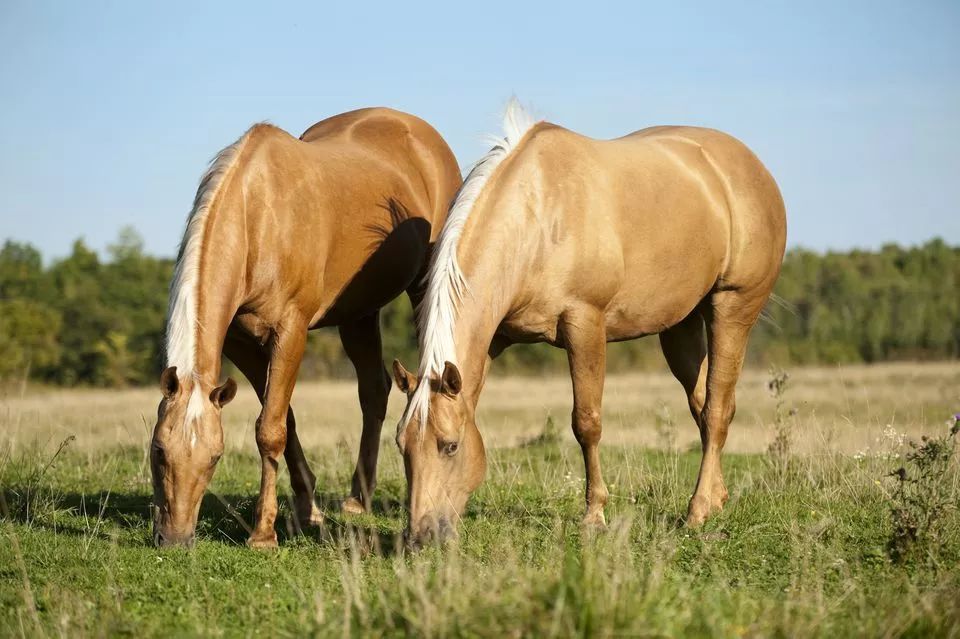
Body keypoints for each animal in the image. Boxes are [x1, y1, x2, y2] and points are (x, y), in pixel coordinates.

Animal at [150, 107, 462, 548]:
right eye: (159, 450)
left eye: (214, 458)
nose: (175, 539)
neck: (257, 216)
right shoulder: (242, 343)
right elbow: (283, 419)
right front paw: (305, 507)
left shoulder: (290, 332)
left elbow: (270, 429)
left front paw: (263, 534)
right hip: (358, 314)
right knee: (374, 391)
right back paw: (358, 499)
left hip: (423, 290)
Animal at [394, 102, 784, 548]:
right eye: (402, 446)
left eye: (451, 446)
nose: (420, 537)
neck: (539, 217)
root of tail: (751, 168)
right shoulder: (494, 340)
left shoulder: (585, 326)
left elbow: (587, 423)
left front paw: (594, 515)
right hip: (681, 327)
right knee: (703, 405)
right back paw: (716, 497)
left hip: (732, 310)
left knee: (718, 409)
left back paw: (698, 510)